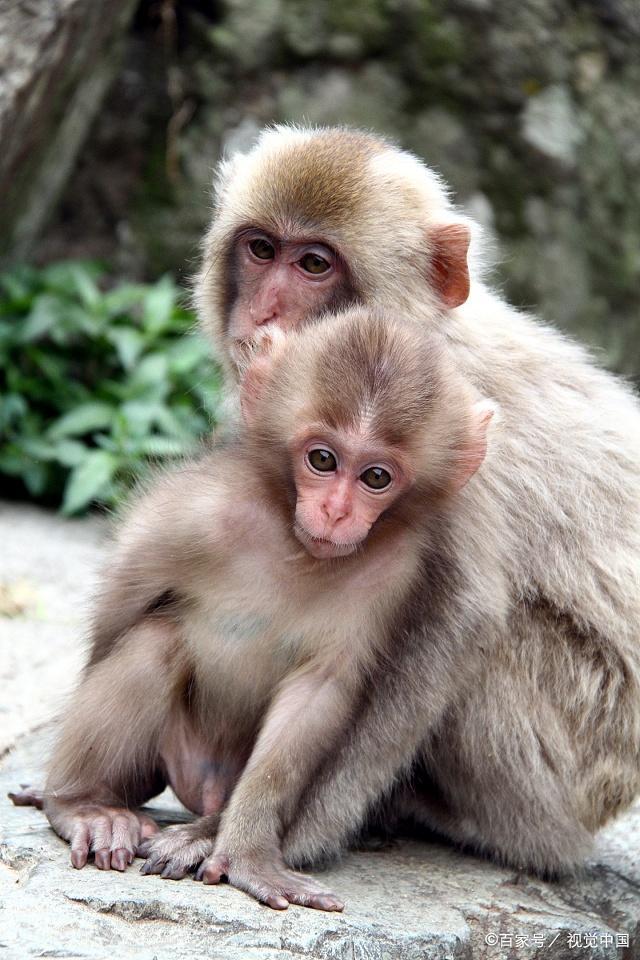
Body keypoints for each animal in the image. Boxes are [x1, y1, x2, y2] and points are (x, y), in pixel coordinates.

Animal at [18, 306, 496, 908]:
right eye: (322, 459)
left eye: (376, 477)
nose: (336, 512)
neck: (294, 546)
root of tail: (204, 784)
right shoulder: (194, 510)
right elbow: (118, 609)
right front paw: (67, 794)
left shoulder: (392, 570)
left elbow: (317, 692)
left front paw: (247, 852)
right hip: (181, 751)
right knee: (155, 641)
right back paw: (84, 803)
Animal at [195, 124, 640, 872]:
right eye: (261, 250)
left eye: (314, 264)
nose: (263, 312)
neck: (407, 331)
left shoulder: (451, 426)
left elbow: (460, 620)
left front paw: (289, 836)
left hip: (573, 762)